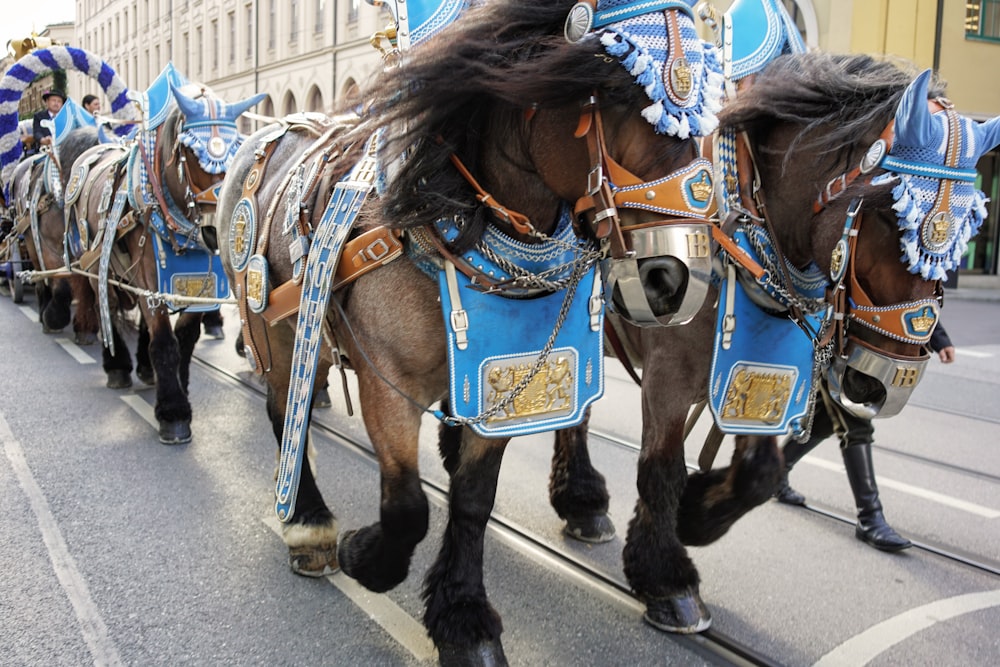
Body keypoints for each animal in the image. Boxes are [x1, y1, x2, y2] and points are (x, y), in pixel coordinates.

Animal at [66, 74, 262, 444]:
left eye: (237, 152)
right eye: (189, 153)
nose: (217, 231)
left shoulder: (198, 286)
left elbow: (183, 341)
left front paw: (177, 389)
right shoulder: (151, 280)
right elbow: (165, 343)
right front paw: (173, 413)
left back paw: (144, 368)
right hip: (99, 266)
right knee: (105, 307)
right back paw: (117, 366)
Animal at [217, 0, 720, 664]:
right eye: (611, 92)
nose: (676, 278)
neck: (446, 226)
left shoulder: (500, 386)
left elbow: (473, 501)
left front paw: (462, 618)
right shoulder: (388, 383)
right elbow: (407, 506)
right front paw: (365, 556)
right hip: (269, 326)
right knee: (284, 411)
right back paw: (308, 523)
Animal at [548, 51, 1000, 632]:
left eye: (967, 231)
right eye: (887, 213)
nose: (885, 383)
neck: (744, 232)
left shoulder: (759, 374)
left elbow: (761, 472)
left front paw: (698, 515)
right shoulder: (668, 375)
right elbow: (661, 469)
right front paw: (669, 581)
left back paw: (582, 504)